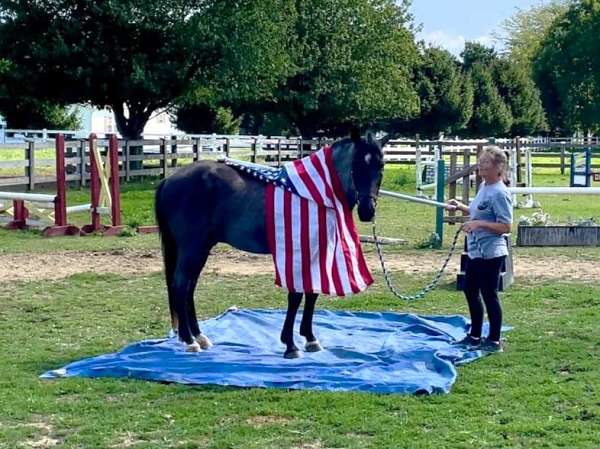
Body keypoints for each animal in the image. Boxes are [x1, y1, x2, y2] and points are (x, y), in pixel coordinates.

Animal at [155, 129, 386, 356]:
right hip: (192, 248)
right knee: (180, 285)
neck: (316, 194)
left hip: (201, 248)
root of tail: (169, 180)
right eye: (357, 166)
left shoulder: (317, 251)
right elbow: (296, 296)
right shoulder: (298, 252)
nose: (367, 211)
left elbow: (311, 293)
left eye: (381, 166)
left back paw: (199, 337)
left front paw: (310, 339)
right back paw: (189, 341)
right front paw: (290, 345)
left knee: (189, 287)